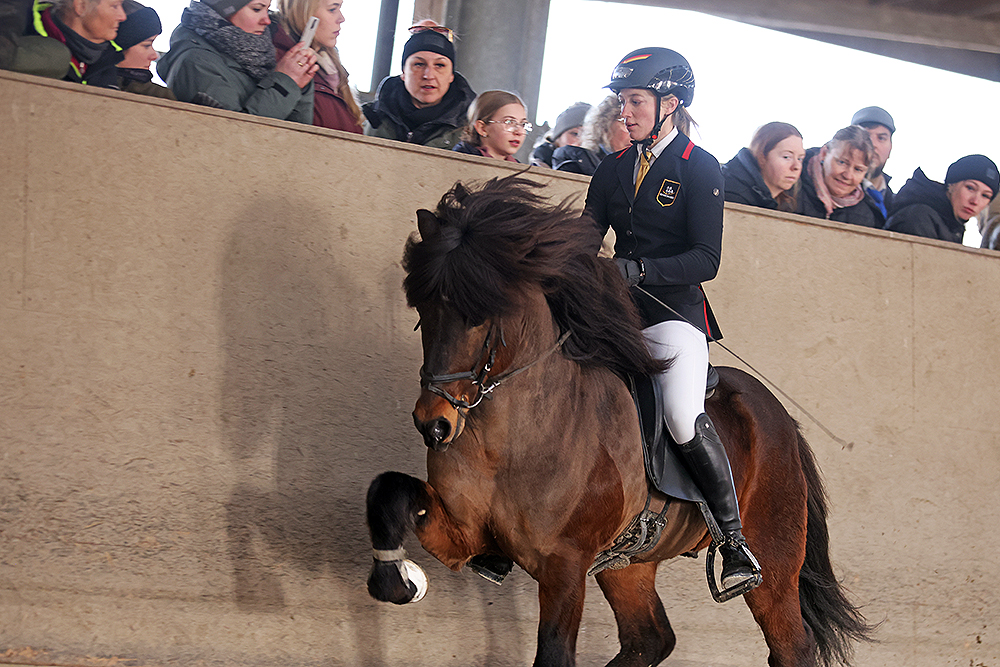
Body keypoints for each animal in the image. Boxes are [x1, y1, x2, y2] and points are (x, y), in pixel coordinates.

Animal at [364, 175, 872, 664]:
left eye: (479, 315)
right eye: (423, 310)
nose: (433, 425)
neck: (511, 440)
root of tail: (777, 414)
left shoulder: (565, 565)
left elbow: (554, 653)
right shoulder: (464, 532)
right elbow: (389, 490)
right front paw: (394, 578)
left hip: (773, 558)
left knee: (789, 645)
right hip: (629, 563)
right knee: (649, 639)